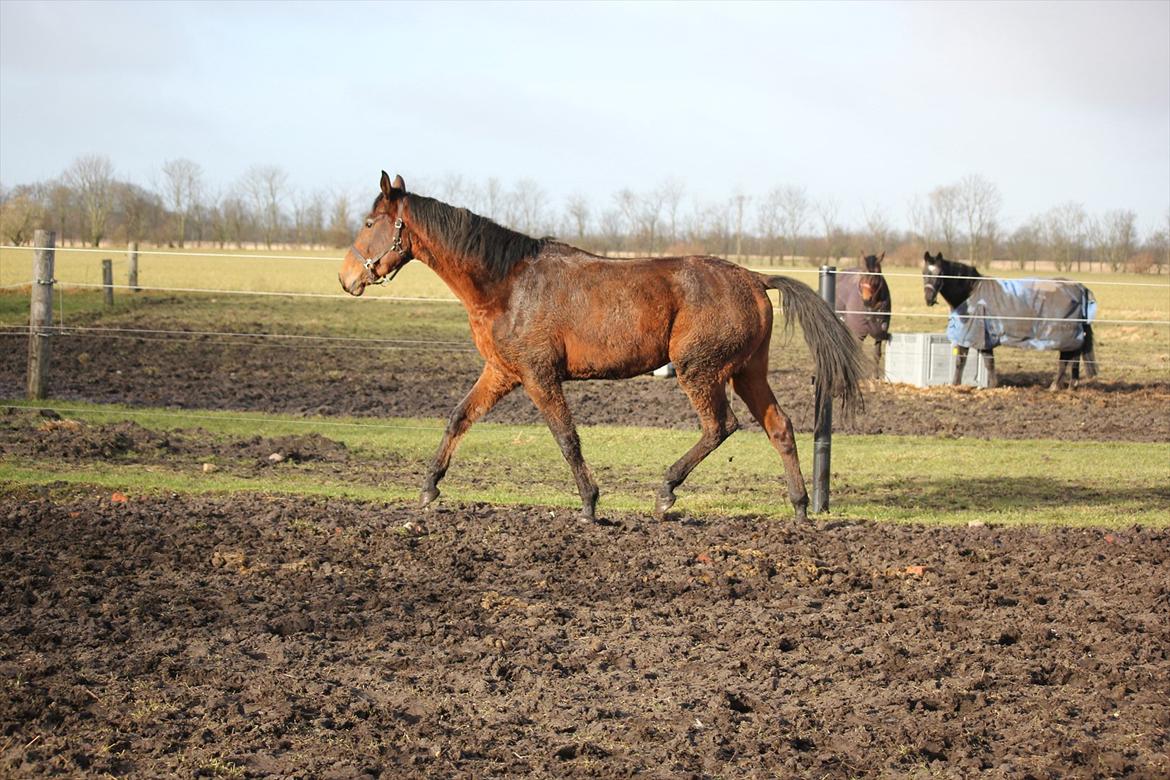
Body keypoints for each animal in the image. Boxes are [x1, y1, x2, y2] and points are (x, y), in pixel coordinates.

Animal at [334, 174, 865, 521]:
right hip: (748, 371)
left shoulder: (539, 375)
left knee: (721, 426)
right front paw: (428, 489)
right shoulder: (502, 372)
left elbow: (566, 437)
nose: (346, 278)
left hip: (699, 370)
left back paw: (666, 492)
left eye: (369, 222)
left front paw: (590, 504)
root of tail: (755, 278)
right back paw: (799, 508)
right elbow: (458, 418)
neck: (507, 284)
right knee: (779, 427)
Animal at [921, 253, 1095, 390]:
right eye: (924, 273)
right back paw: (1071, 385)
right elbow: (983, 361)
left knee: (1065, 359)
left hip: (1064, 335)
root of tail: (1079, 288)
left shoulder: (972, 335)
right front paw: (989, 385)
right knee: (1073, 357)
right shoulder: (982, 337)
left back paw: (1055, 386)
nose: (929, 299)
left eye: (940, 273)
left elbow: (966, 361)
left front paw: (958, 385)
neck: (971, 293)